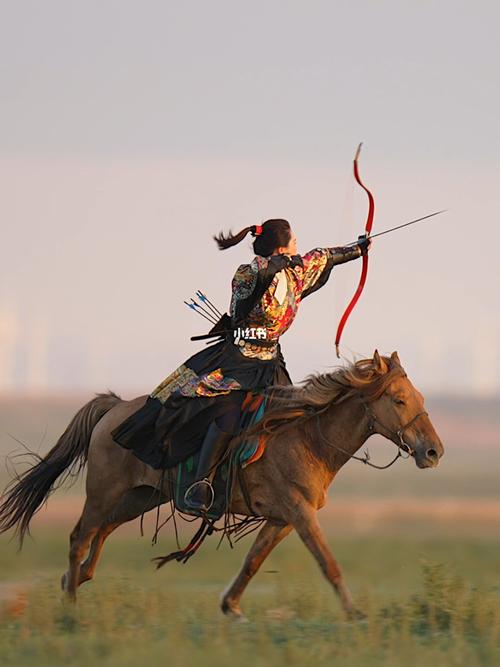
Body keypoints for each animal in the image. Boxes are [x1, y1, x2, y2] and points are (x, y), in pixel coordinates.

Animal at [0, 352, 446, 620]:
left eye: (420, 397)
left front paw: (231, 607)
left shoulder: (282, 519)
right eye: (399, 400)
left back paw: (73, 581)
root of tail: (115, 406)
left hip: (140, 498)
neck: (307, 437)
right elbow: (328, 563)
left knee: (101, 534)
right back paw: (70, 605)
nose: (434, 451)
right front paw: (355, 615)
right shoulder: (299, 513)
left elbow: (252, 561)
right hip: (103, 493)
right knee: (79, 537)